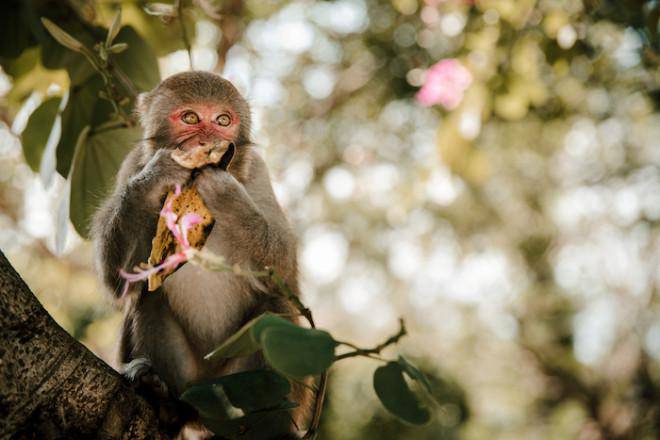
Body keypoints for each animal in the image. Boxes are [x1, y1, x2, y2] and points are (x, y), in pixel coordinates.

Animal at [92, 71, 314, 436]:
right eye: (190, 118)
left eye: (223, 120)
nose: (208, 140)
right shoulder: (131, 164)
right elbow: (120, 281)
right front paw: (157, 176)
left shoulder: (257, 172)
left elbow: (284, 270)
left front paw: (227, 195)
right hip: (192, 382)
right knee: (149, 297)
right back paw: (165, 403)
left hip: (236, 383)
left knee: (275, 308)